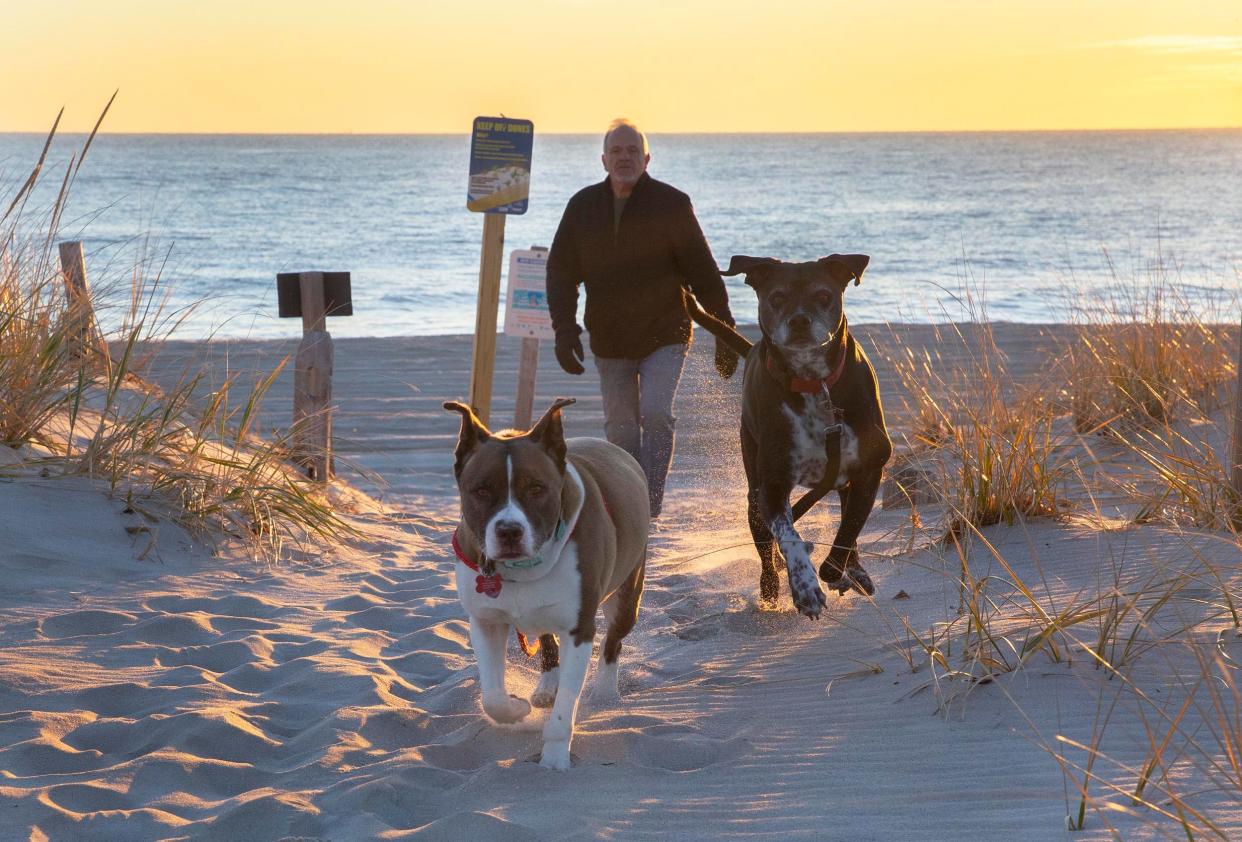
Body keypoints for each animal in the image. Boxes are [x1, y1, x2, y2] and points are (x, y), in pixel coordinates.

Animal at [444, 397, 650, 769]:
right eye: (481, 490)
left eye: (537, 488)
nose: (509, 531)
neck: (522, 566)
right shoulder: (485, 620)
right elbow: (492, 698)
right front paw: (516, 708)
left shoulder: (579, 628)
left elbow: (564, 711)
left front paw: (554, 757)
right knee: (546, 640)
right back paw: (545, 688)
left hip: (629, 592)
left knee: (613, 640)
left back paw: (605, 693)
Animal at [695, 254, 889, 615]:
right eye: (777, 297)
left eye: (824, 295)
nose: (799, 320)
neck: (813, 382)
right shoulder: (771, 486)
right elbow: (789, 536)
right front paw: (805, 585)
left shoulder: (870, 468)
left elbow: (849, 531)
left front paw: (838, 571)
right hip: (752, 485)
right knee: (766, 550)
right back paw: (770, 589)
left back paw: (853, 571)